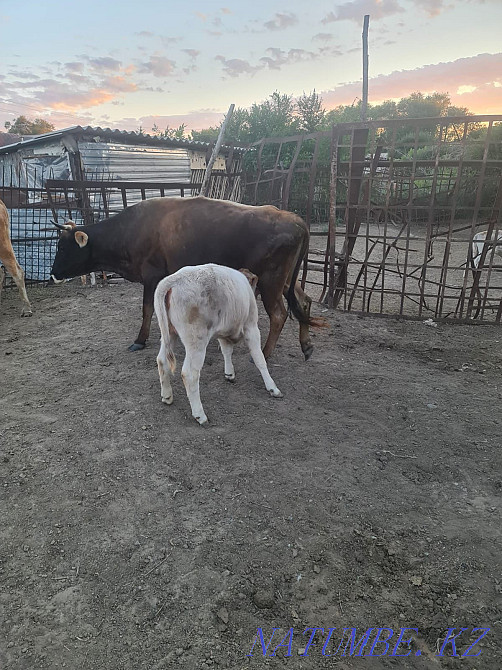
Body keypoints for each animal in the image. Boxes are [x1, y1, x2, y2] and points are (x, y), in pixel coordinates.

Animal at [50, 196, 318, 359]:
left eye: (62, 247)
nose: (52, 274)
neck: (132, 230)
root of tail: (295, 219)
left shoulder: (152, 275)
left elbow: (147, 309)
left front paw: (140, 340)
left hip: (271, 280)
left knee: (279, 315)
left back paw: (266, 353)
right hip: (286, 281)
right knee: (304, 301)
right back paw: (306, 345)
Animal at [154, 264, 282, 425]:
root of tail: (174, 280)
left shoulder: (223, 332)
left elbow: (226, 351)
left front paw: (229, 373)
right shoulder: (251, 327)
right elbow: (259, 358)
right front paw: (272, 387)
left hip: (170, 334)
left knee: (162, 361)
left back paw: (167, 396)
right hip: (197, 341)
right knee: (189, 374)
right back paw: (200, 415)